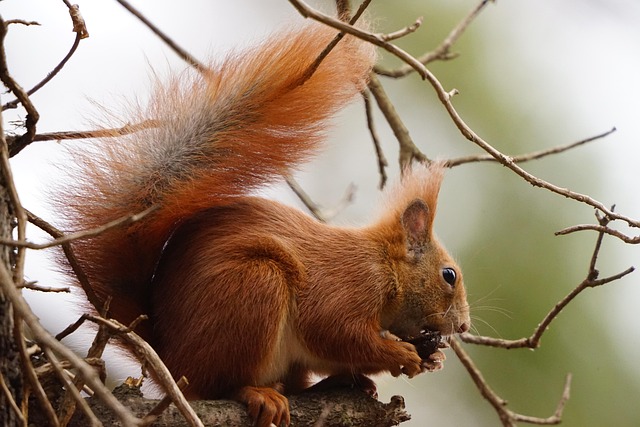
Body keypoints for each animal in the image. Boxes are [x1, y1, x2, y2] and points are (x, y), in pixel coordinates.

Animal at [56, 22, 470, 427]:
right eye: (448, 275)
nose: (464, 327)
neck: (383, 264)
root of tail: (172, 362)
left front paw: (430, 356)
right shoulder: (347, 285)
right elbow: (337, 333)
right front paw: (400, 354)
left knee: (297, 382)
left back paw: (334, 385)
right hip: (255, 287)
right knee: (223, 383)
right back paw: (257, 393)